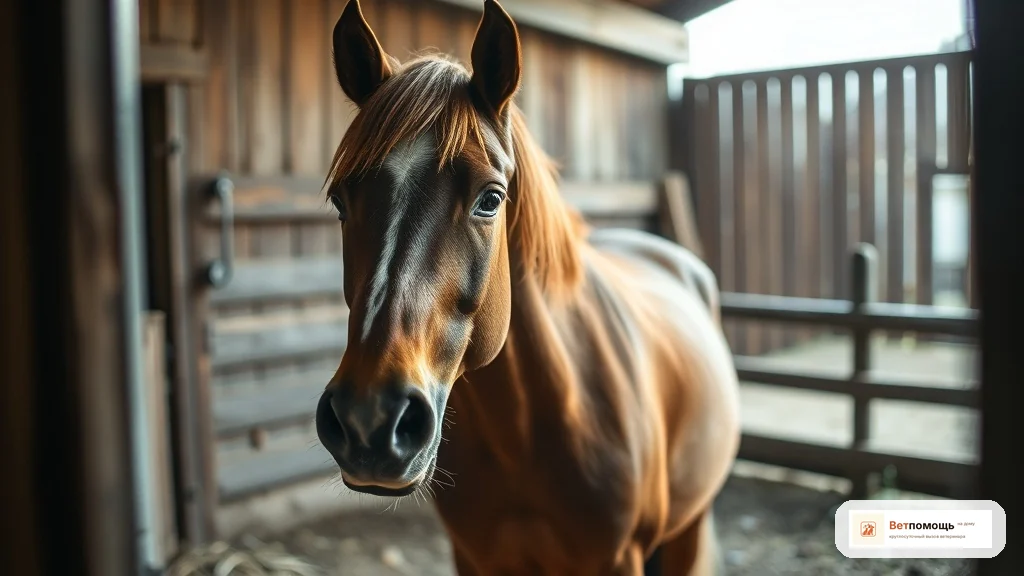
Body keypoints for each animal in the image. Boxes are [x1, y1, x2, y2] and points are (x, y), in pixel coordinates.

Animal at [313, 1, 741, 573]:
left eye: (491, 199)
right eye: (341, 200)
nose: (370, 418)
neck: (527, 430)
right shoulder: (473, 558)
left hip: (688, 528)